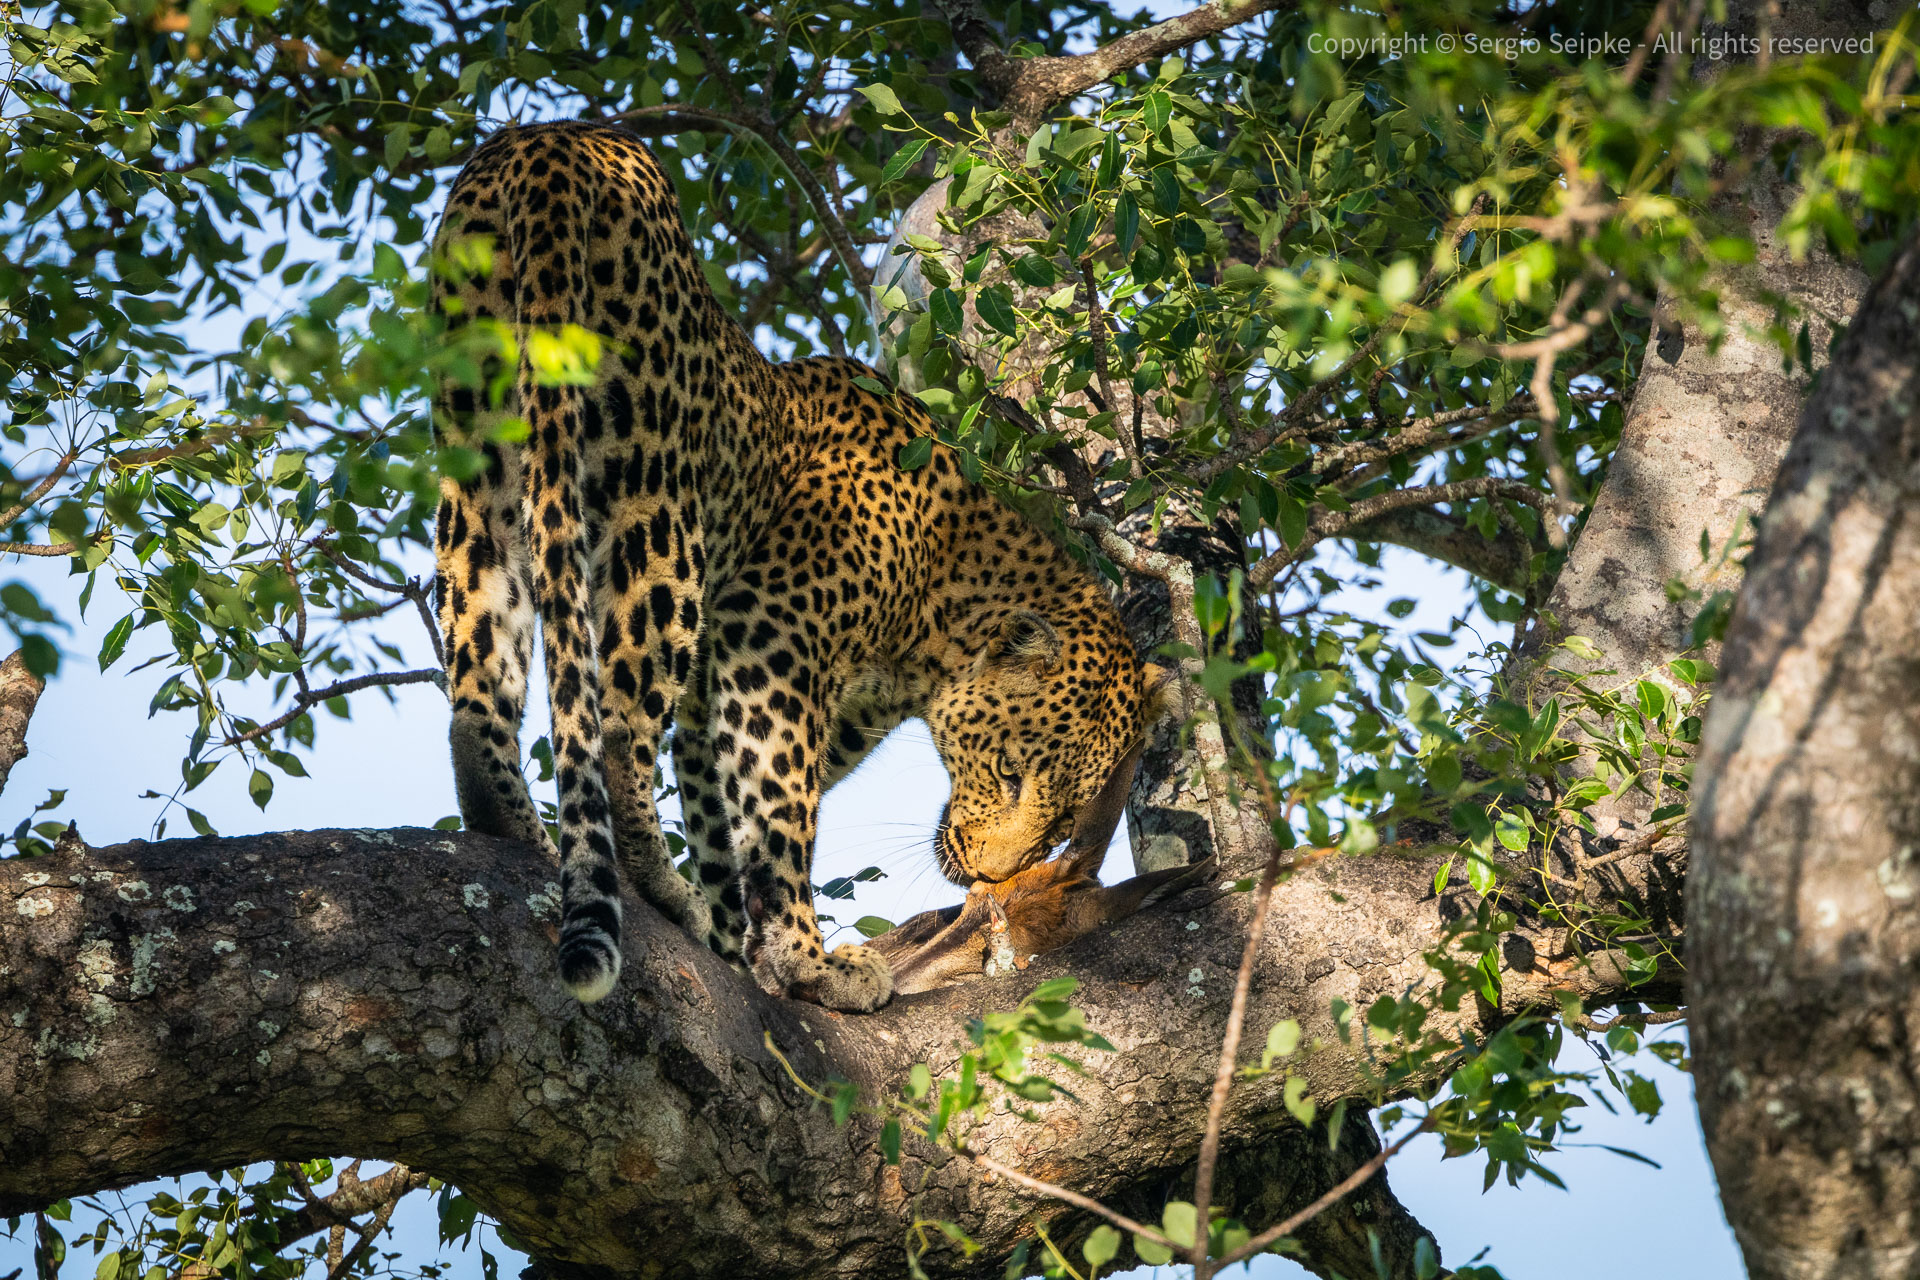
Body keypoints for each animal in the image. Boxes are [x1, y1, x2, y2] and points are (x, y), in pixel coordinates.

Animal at [432, 119, 1167, 1013]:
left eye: (1064, 823)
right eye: (1009, 771)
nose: (988, 879)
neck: (941, 591)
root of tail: (553, 142)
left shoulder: (723, 691)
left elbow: (720, 814)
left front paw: (736, 943)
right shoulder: (769, 639)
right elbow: (779, 808)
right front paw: (804, 961)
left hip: (480, 455)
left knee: (478, 683)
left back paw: (518, 825)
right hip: (656, 507)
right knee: (616, 725)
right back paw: (659, 887)